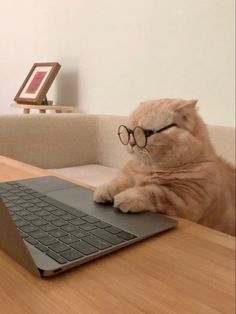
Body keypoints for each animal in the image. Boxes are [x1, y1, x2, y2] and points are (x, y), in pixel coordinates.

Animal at [93, 99, 235, 237]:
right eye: (129, 130)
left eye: (147, 132)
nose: (131, 143)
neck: (149, 167)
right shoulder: (129, 175)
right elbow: (120, 181)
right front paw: (106, 189)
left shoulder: (183, 201)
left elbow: (153, 191)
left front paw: (128, 197)